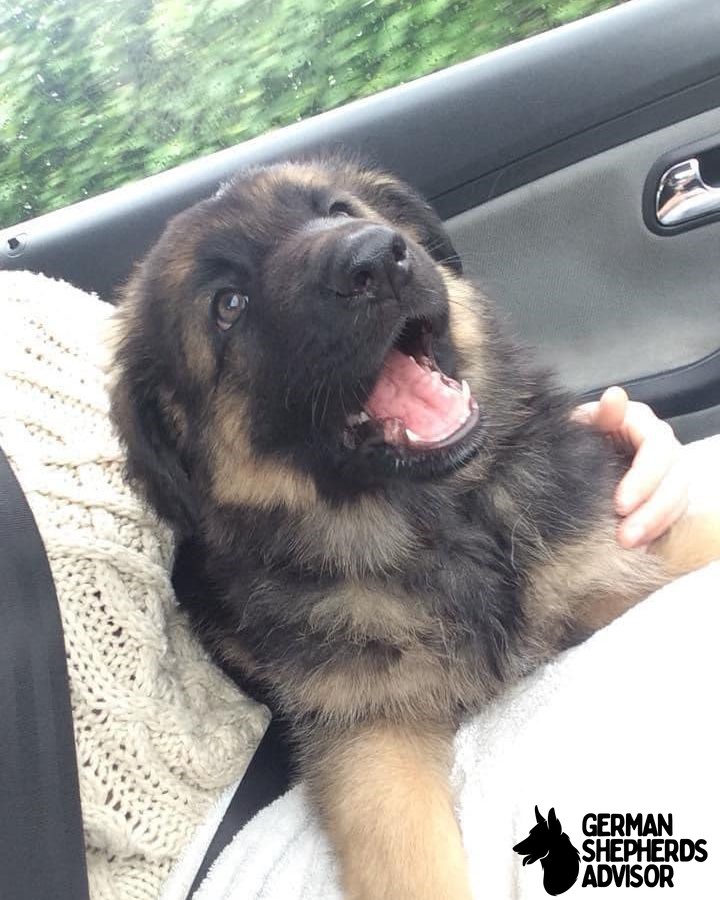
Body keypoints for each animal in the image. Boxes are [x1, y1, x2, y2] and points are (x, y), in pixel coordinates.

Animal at [109, 158, 716, 896]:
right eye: (228, 305)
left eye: (339, 211)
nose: (375, 259)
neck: (444, 527)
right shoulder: (368, 730)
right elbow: (408, 859)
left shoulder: (613, 556)